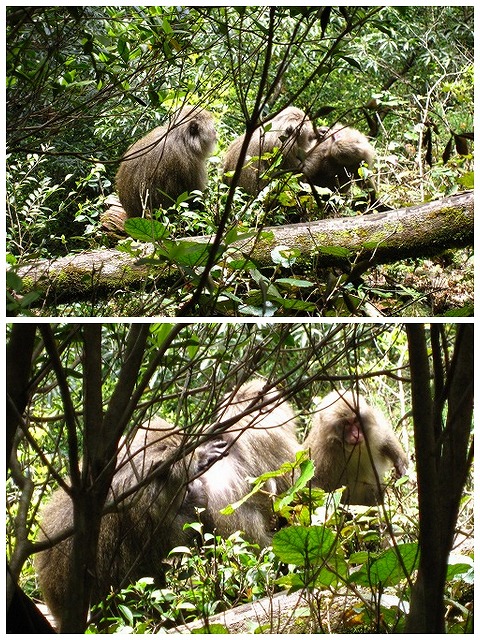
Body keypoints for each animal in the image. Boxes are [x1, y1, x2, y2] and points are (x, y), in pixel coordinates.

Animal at [35, 418, 227, 628]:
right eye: (185, 476)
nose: (188, 488)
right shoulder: (142, 511)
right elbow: (171, 539)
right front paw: (196, 496)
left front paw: (202, 453)